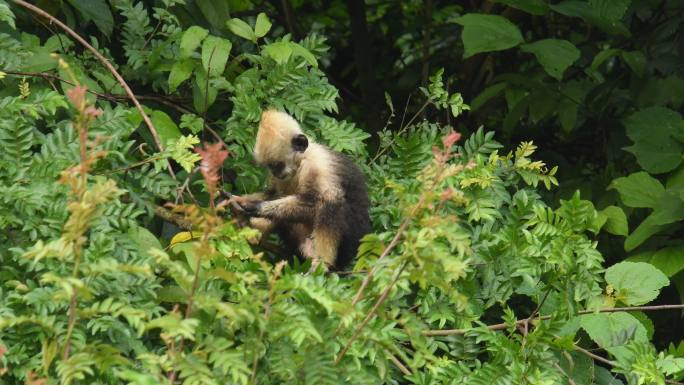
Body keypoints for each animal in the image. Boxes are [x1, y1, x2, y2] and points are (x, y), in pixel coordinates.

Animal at [230, 108, 368, 270]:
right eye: (270, 166)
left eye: (277, 165)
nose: (276, 173)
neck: (302, 161)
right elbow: (273, 193)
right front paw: (235, 203)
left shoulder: (316, 166)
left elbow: (319, 202)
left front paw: (254, 206)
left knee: (331, 199)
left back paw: (323, 263)